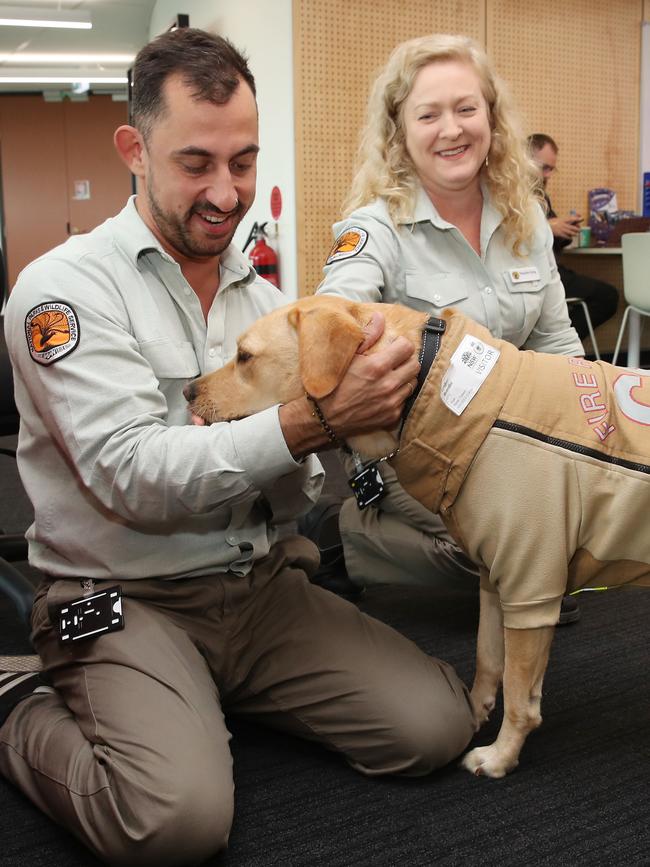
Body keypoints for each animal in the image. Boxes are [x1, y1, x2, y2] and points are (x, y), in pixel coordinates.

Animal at [182, 294, 648, 780]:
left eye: (245, 356)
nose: (187, 393)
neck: (435, 381)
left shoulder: (530, 586)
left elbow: (522, 699)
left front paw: (501, 756)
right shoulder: (494, 579)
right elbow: (488, 661)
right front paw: (474, 714)